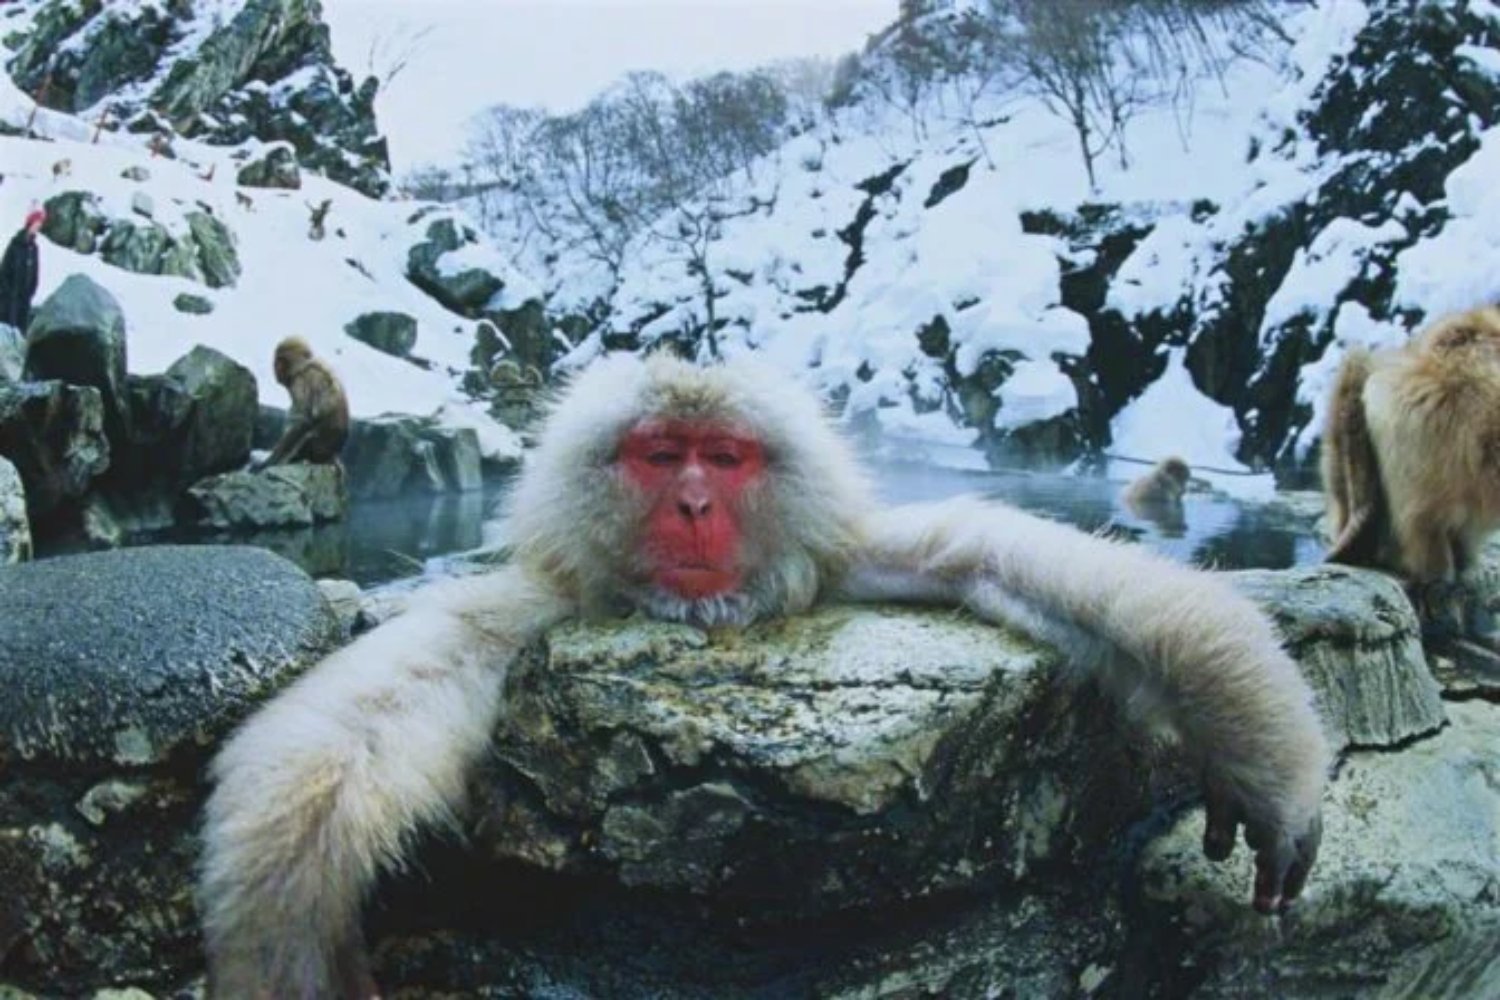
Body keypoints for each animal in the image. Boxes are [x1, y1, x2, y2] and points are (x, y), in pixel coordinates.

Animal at [200, 354, 1330, 997]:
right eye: (663, 456)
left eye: (728, 456)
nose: (697, 506)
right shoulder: (534, 605)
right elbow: (358, 725)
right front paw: (288, 938)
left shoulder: (841, 557)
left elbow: (1016, 566)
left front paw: (1255, 755)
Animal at [255, 336, 350, 470]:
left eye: (278, 360)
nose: (275, 366)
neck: (301, 367)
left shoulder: (300, 383)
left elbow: (303, 421)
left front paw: (269, 462)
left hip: (312, 449)